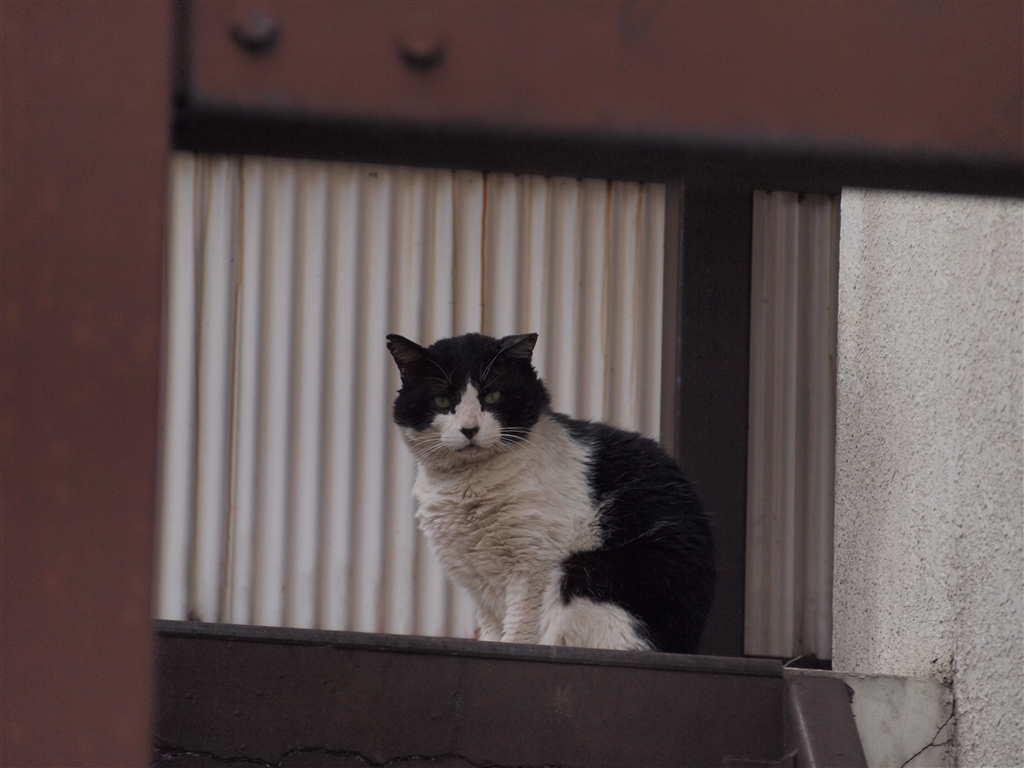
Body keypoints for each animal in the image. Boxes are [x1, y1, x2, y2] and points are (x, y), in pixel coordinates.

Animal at [387, 331, 715, 653]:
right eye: (442, 400)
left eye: (492, 396)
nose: (469, 429)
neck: (466, 485)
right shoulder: (477, 576)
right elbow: (492, 626)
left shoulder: (534, 562)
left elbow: (521, 625)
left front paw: (513, 645)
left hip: (587, 571)